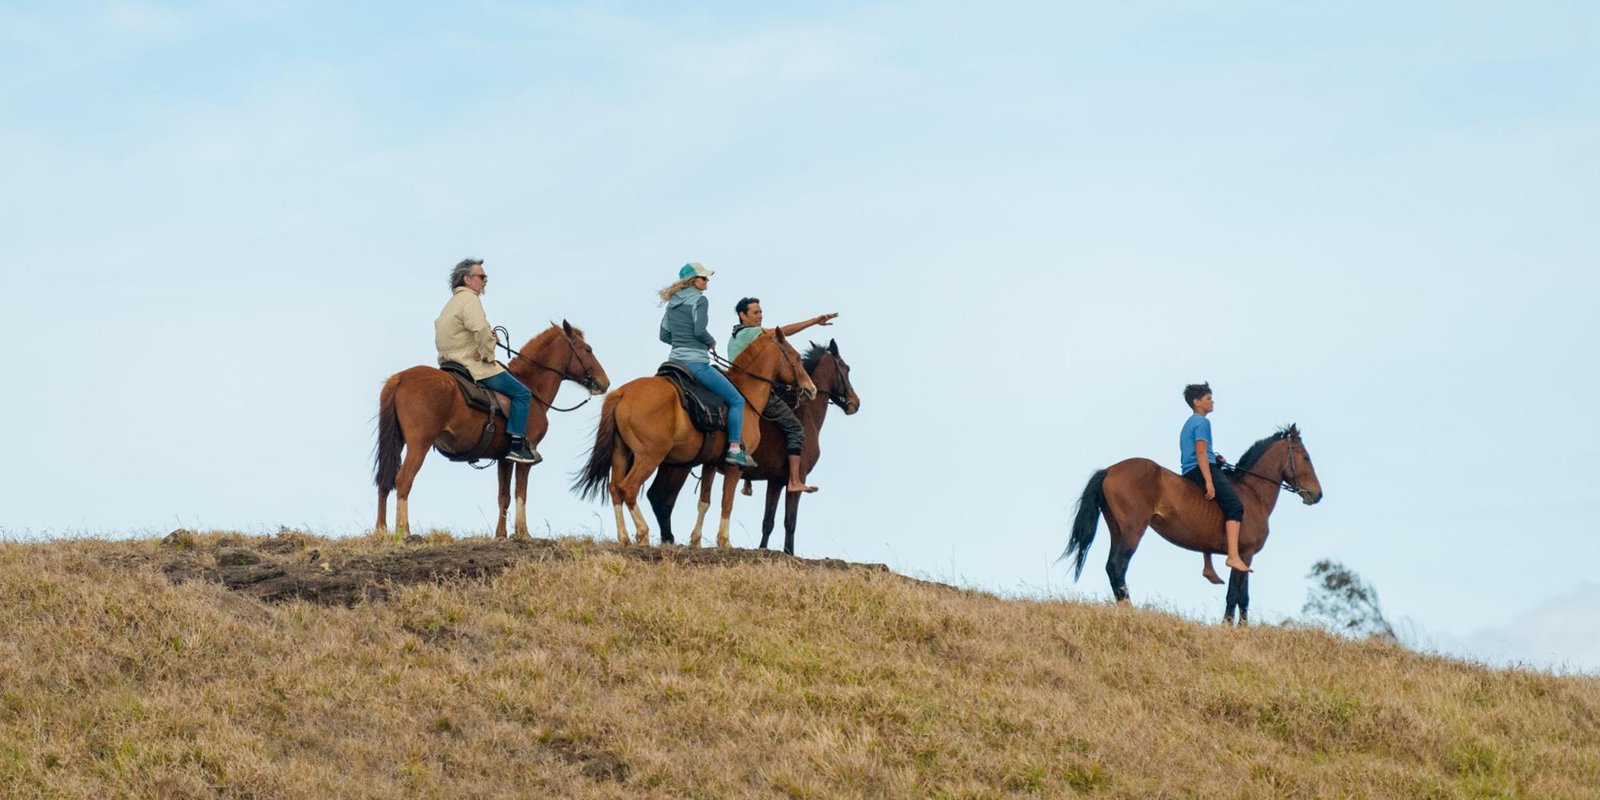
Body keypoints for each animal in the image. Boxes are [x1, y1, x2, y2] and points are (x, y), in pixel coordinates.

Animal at [371, 321, 608, 540]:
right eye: (587, 349)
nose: (604, 382)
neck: (532, 388)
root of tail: (400, 378)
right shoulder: (526, 457)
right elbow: (521, 492)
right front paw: (523, 533)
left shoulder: (504, 458)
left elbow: (504, 496)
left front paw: (501, 535)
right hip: (419, 445)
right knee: (403, 479)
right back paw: (404, 532)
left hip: (398, 442)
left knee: (385, 479)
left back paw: (381, 530)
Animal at [569, 328, 812, 547]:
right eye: (796, 357)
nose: (810, 389)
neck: (745, 394)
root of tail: (622, 393)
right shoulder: (734, 467)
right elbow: (727, 502)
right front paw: (724, 542)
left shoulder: (711, 463)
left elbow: (704, 501)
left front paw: (695, 541)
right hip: (649, 457)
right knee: (629, 487)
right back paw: (643, 534)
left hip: (620, 453)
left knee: (615, 488)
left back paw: (624, 538)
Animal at [649, 339, 864, 556]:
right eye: (846, 369)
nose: (855, 403)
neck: (806, 414)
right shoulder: (797, 479)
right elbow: (790, 522)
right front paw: (789, 553)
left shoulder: (775, 482)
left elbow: (768, 521)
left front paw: (763, 549)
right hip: (680, 466)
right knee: (663, 500)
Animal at [1062, 425, 1324, 624]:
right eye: (1306, 457)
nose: (1317, 494)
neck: (1252, 493)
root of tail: (1109, 470)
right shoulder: (1244, 554)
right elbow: (1235, 594)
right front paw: (1229, 627)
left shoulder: (1246, 557)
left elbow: (1243, 595)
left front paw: (1242, 628)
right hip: (1133, 531)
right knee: (1118, 566)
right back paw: (1131, 610)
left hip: (1117, 530)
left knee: (1112, 567)